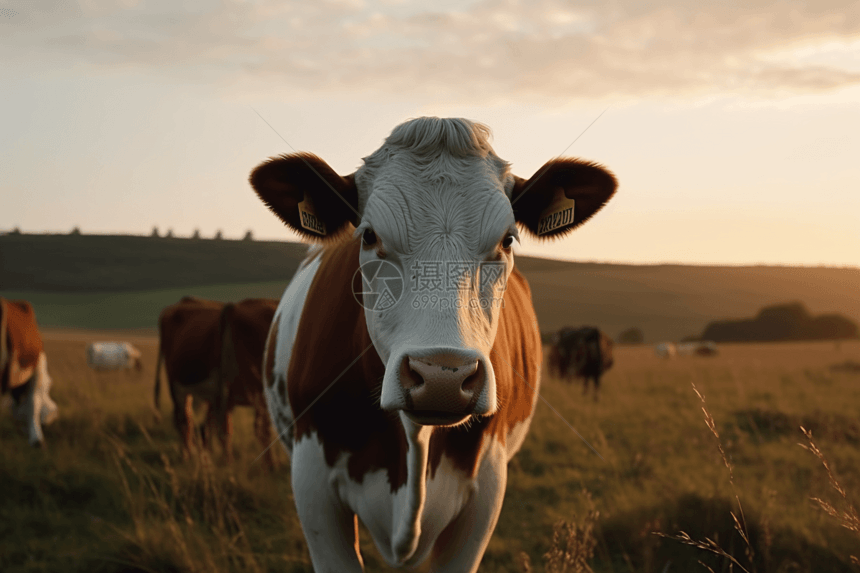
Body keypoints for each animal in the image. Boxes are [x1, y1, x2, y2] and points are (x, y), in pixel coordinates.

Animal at [151, 298, 278, 466]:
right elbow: (232, 431)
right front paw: (229, 466)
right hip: (177, 386)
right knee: (184, 420)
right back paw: (187, 456)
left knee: (201, 424)